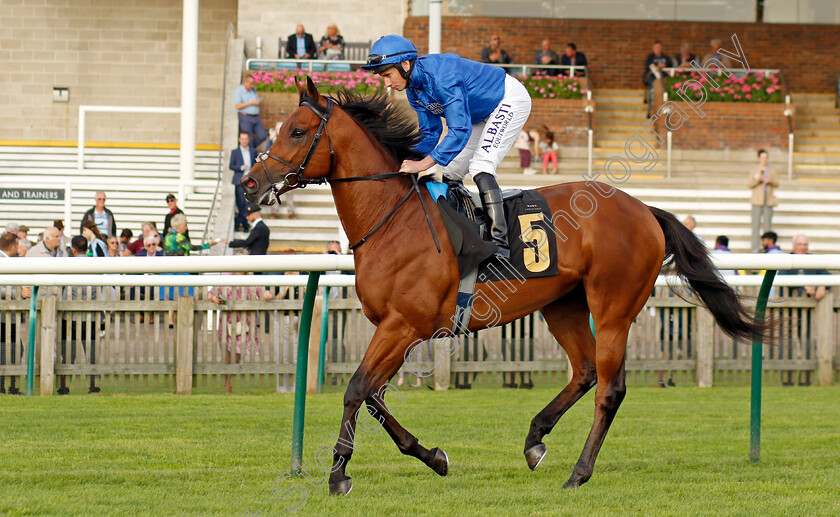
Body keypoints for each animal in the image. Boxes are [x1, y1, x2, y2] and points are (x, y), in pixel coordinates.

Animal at [241, 78, 760, 494]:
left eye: (297, 131)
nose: (249, 182)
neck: (392, 219)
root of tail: (645, 209)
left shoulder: (403, 326)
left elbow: (356, 389)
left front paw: (338, 474)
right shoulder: (395, 328)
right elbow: (373, 396)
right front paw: (432, 456)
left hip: (613, 307)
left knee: (610, 388)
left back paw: (579, 472)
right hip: (563, 303)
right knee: (585, 371)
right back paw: (535, 440)